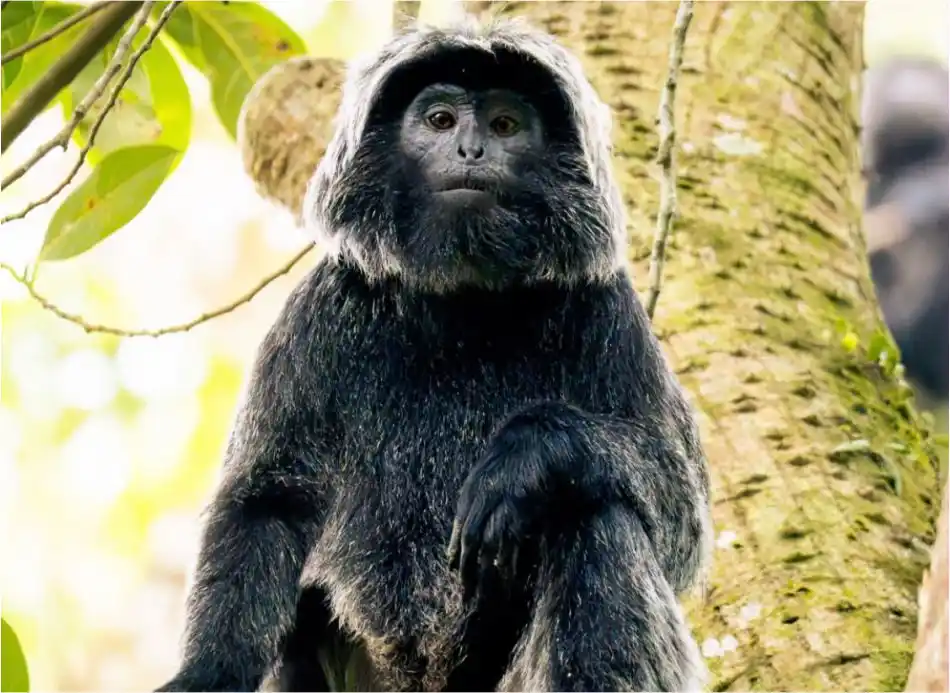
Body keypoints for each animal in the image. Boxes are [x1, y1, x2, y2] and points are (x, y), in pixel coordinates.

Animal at [158, 16, 712, 693]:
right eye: (442, 120)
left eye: (504, 125)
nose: (471, 150)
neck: (462, 304)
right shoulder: (320, 312)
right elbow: (268, 501)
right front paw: (206, 673)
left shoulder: (608, 308)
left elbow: (681, 519)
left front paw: (528, 454)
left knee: (596, 517)